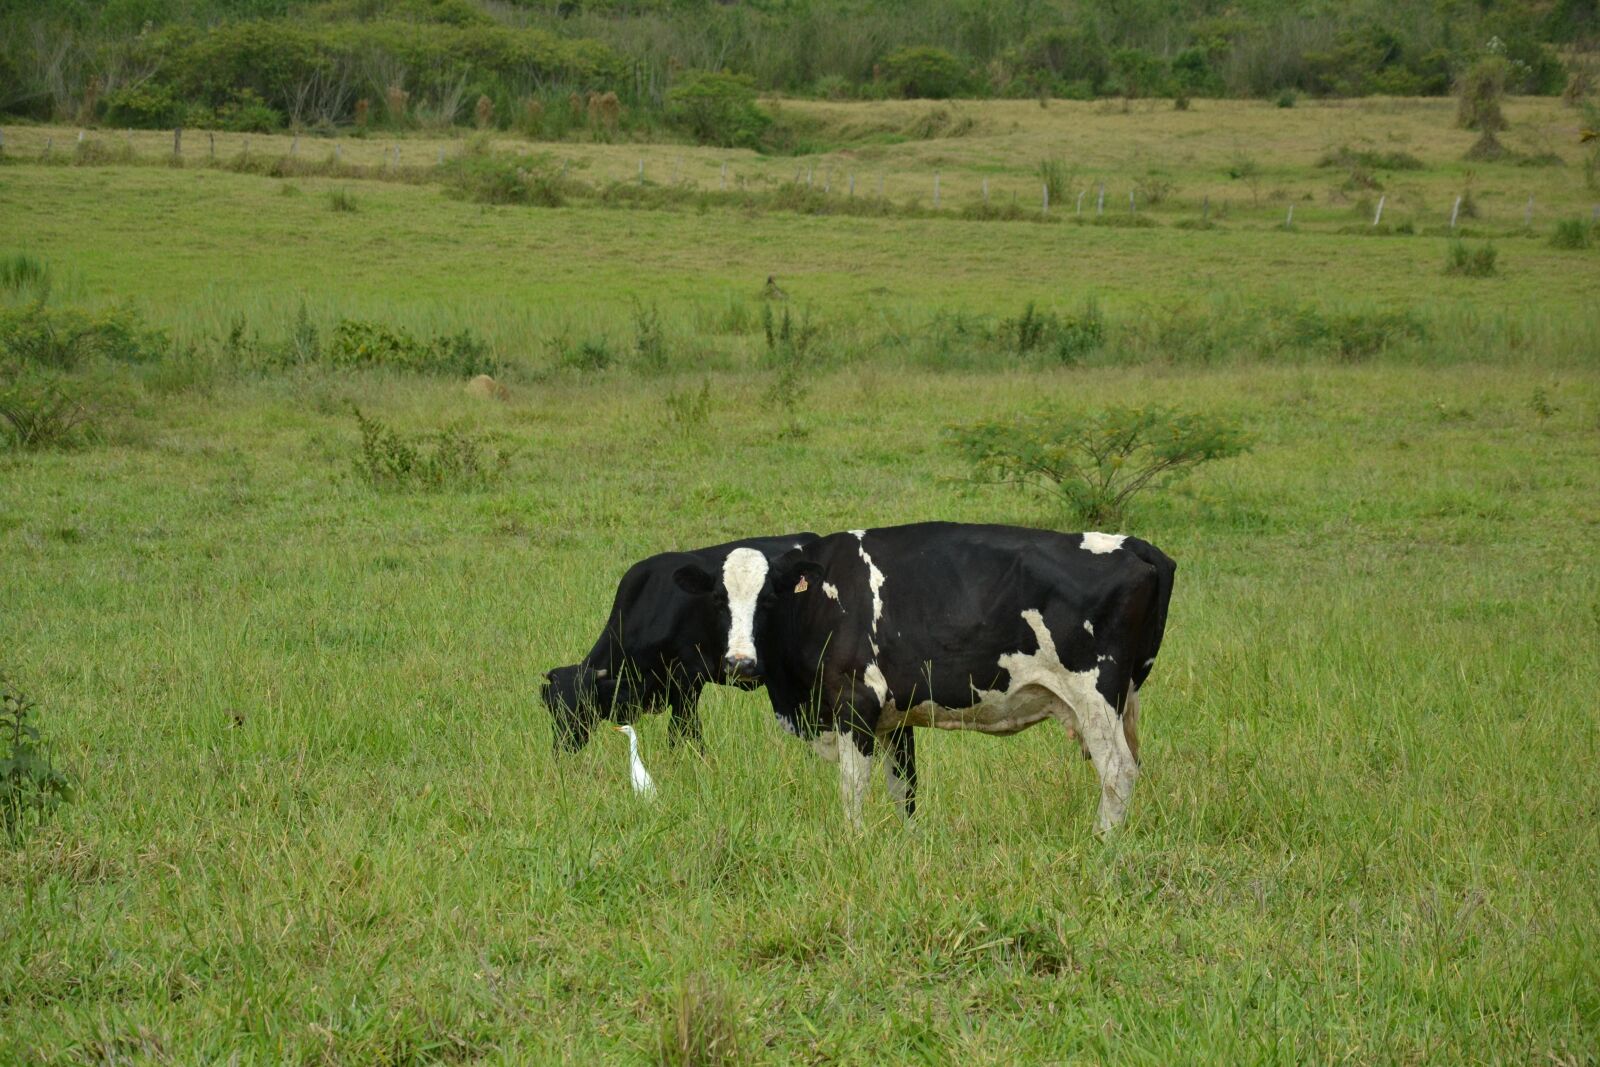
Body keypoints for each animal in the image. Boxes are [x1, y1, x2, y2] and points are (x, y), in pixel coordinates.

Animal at [670, 522, 1175, 835]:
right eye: (718, 600)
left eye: (770, 599)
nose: (740, 663)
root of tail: (1132, 544)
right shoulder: (894, 717)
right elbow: (904, 790)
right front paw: (909, 843)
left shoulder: (856, 702)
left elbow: (853, 789)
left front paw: (854, 843)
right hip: (1121, 701)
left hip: (1095, 696)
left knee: (1118, 771)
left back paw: (1101, 842)